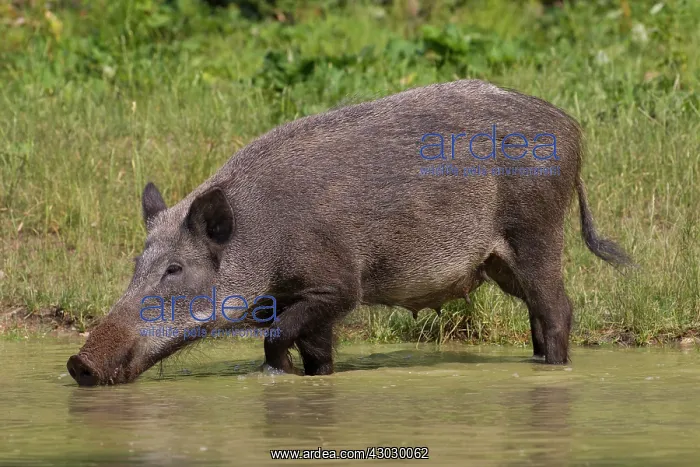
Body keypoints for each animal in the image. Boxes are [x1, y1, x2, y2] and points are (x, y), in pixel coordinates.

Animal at [67, 79, 634, 386]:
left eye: (175, 268)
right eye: (136, 265)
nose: (78, 363)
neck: (264, 236)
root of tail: (573, 130)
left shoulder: (338, 285)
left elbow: (278, 336)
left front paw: (276, 372)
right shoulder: (300, 300)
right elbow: (316, 354)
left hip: (536, 230)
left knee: (559, 308)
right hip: (500, 262)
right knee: (538, 312)